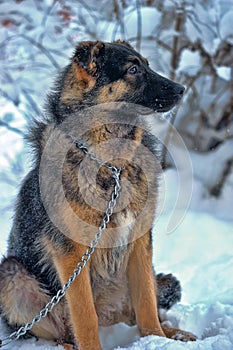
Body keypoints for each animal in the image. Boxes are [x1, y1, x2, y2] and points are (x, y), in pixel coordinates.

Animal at [0, 41, 197, 350]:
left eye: (147, 64)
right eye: (132, 69)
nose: (181, 89)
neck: (111, 164)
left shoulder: (140, 242)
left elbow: (146, 301)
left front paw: (155, 339)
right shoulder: (72, 255)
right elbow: (84, 314)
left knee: (143, 304)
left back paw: (172, 332)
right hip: (11, 274)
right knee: (61, 331)